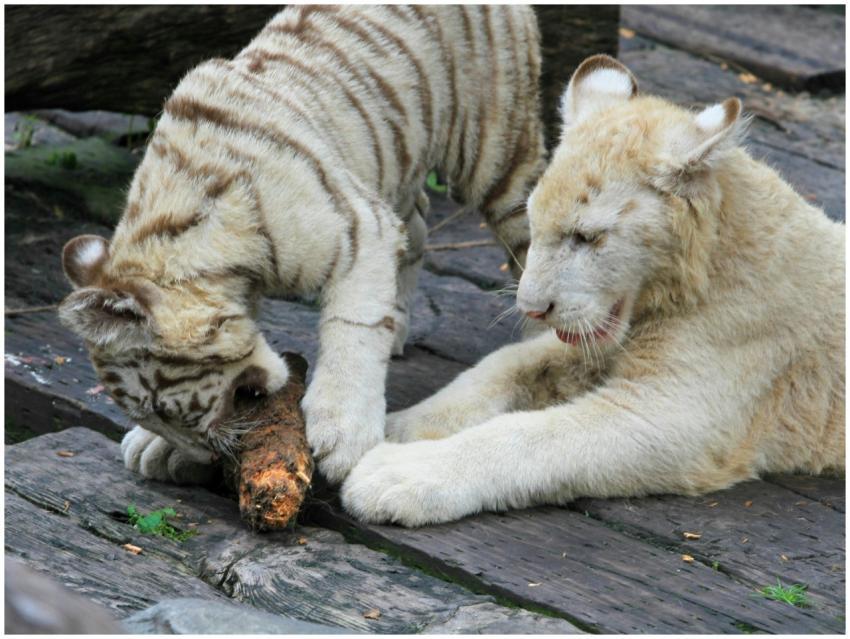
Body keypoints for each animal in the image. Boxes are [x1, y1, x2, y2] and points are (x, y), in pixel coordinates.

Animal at [58, 5, 546, 485]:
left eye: (160, 407)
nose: (202, 455)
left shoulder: (358, 229)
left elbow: (354, 328)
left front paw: (342, 433)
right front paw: (155, 447)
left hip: (493, 151)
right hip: (396, 162)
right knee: (418, 223)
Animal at [341, 54, 846, 527]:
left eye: (586, 237)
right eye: (534, 221)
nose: (532, 308)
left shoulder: (673, 414)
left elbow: (533, 436)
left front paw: (395, 474)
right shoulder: (590, 342)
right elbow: (501, 365)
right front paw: (398, 426)